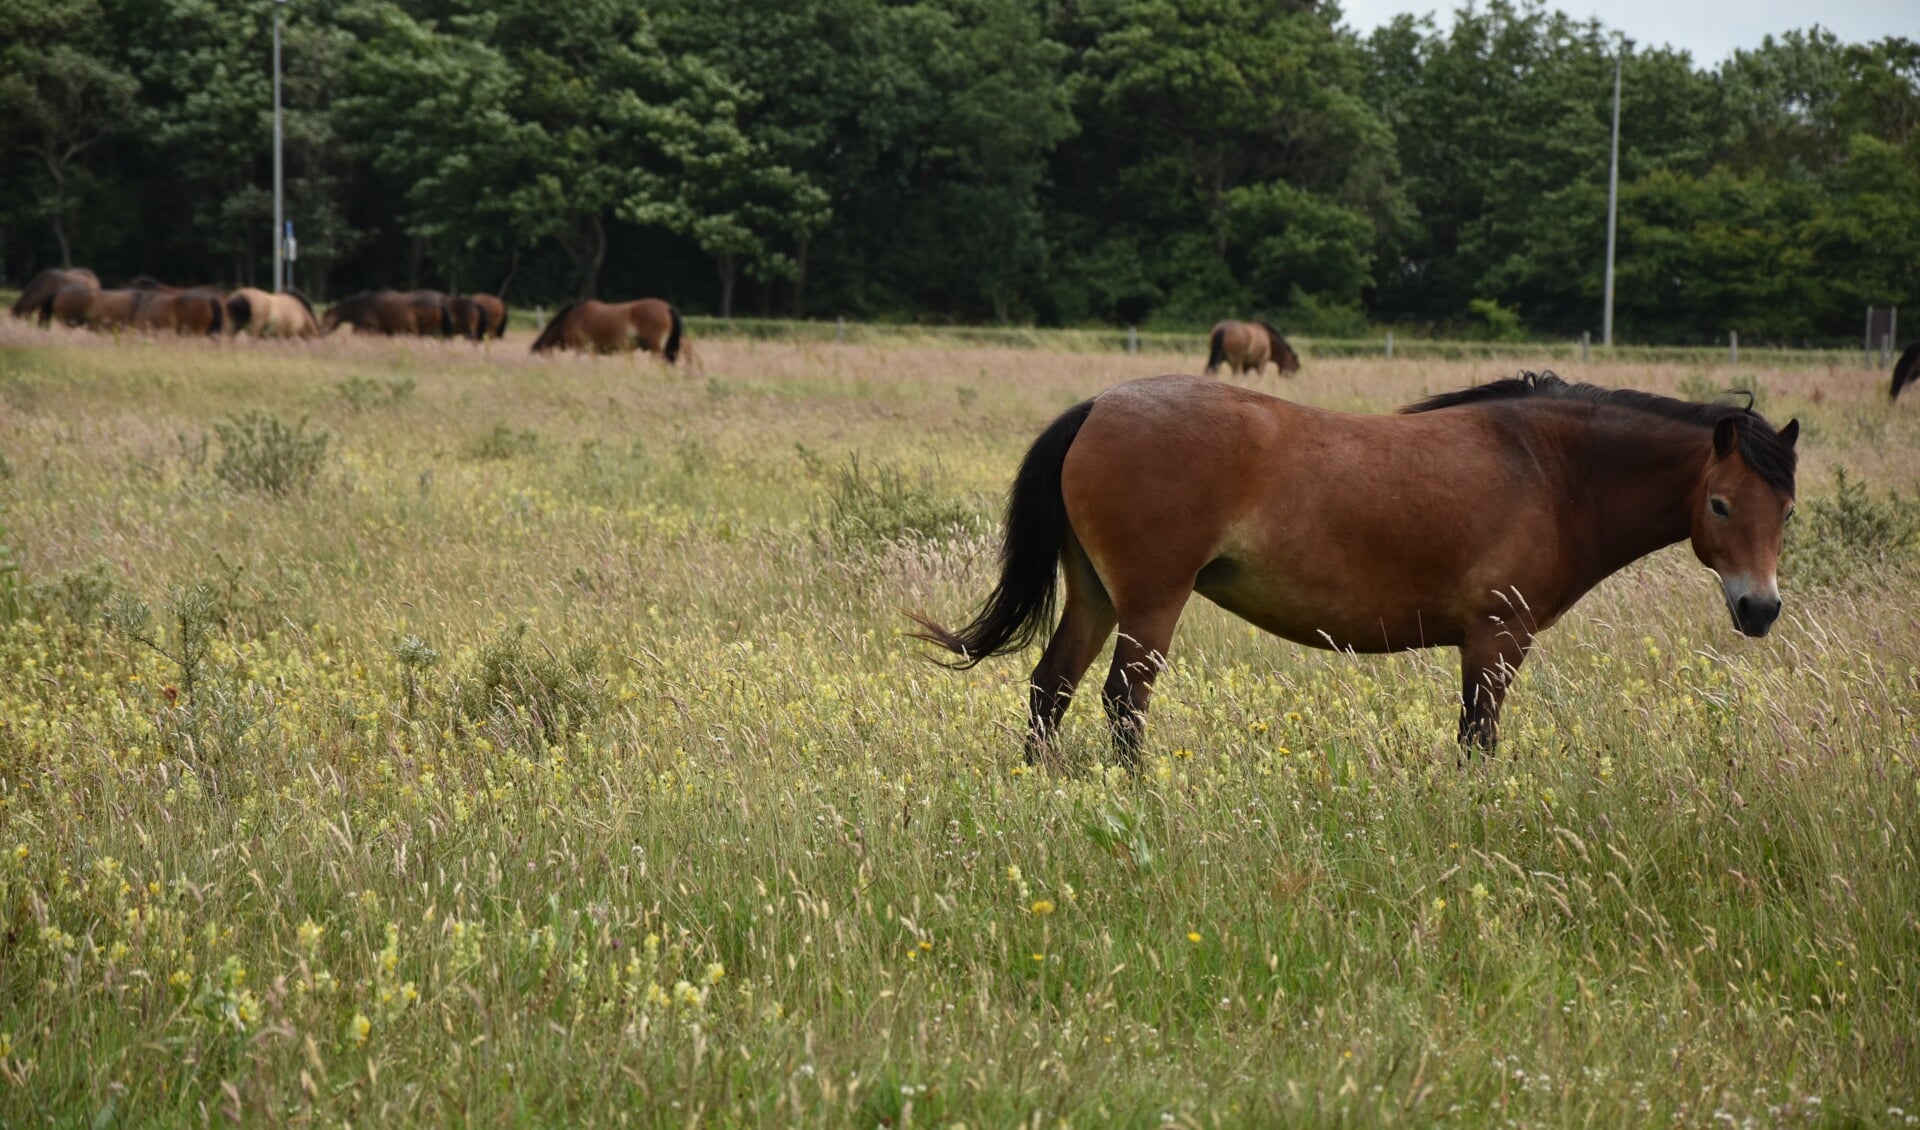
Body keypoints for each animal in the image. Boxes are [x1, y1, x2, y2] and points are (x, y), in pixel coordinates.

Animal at [913, 374, 1797, 763]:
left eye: (1786, 511)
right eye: (1721, 505)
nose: (1760, 610)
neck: (1551, 469)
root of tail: (1099, 405)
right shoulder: (1497, 638)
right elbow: (1477, 740)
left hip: (1097, 597)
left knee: (1050, 689)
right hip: (1151, 603)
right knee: (1122, 703)